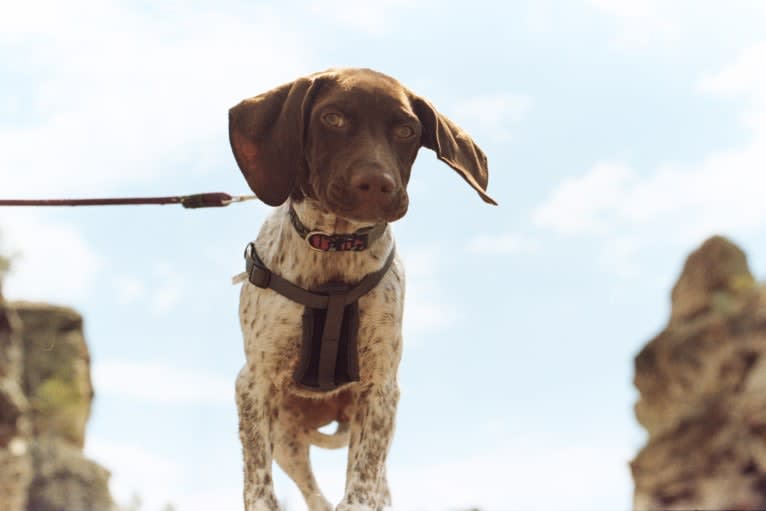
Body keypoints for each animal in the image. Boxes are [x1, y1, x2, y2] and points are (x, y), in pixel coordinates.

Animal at [230, 69, 492, 511]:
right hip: (286, 438)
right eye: (332, 119)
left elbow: (361, 489)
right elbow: (259, 488)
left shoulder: (380, 392)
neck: (335, 247)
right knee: (315, 497)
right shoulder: (254, 384)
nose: (376, 183)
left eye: (406, 130)